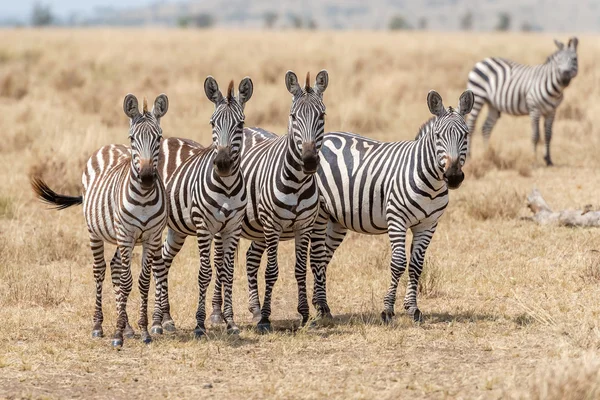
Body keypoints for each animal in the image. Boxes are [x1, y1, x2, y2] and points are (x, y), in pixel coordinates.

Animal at [31, 94, 170, 346]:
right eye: (132, 138)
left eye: (159, 137)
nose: (146, 178)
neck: (144, 197)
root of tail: (108, 146)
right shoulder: (126, 235)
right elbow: (126, 281)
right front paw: (117, 335)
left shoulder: (152, 237)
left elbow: (143, 282)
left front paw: (143, 331)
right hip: (95, 232)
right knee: (100, 270)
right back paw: (98, 326)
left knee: (115, 267)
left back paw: (127, 327)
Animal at [152, 76, 253, 338]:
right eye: (212, 123)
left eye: (241, 124)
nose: (223, 164)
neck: (226, 186)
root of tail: (166, 139)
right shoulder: (204, 226)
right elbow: (205, 272)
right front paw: (199, 324)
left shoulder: (233, 227)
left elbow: (227, 271)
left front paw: (230, 322)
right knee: (158, 263)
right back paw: (157, 321)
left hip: (176, 229)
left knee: (164, 261)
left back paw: (166, 318)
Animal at [209, 69, 328, 332]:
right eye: (293, 117)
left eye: (322, 116)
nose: (309, 161)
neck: (297, 181)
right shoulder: (272, 226)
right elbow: (272, 271)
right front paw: (265, 319)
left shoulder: (304, 226)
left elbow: (300, 270)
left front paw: (304, 314)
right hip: (228, 225)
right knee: (219, 262)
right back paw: (217, 313)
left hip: (256, 228)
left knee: (251, 260)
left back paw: (253, 309)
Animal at [310, 89, 474, 324]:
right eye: (437, 136)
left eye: (465, 135)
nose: (453, 177)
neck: (431, 182)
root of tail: (327, 136)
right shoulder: (396, 219)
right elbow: (398, 263)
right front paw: (387, 310)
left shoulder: (428, 225)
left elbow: (416, 266)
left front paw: (413, 308)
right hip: (321, 214)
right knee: (316, 257)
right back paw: (322, 308)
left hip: (337, 220)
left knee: (323, 257)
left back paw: (320, 304)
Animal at [466, 37, 580, 166]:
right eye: (559, 60)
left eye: (574, 59)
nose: (565, 77)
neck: (554, 89)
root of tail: (483, 60)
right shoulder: (535, 109)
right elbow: (535, 135)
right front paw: (534, 159)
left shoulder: (551, 111)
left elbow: (548, 135)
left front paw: (548, 159)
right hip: (477, 95)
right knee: (471, 125)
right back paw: (469, 156)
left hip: (493, 104)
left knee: (486, 127)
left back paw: (487, 153)